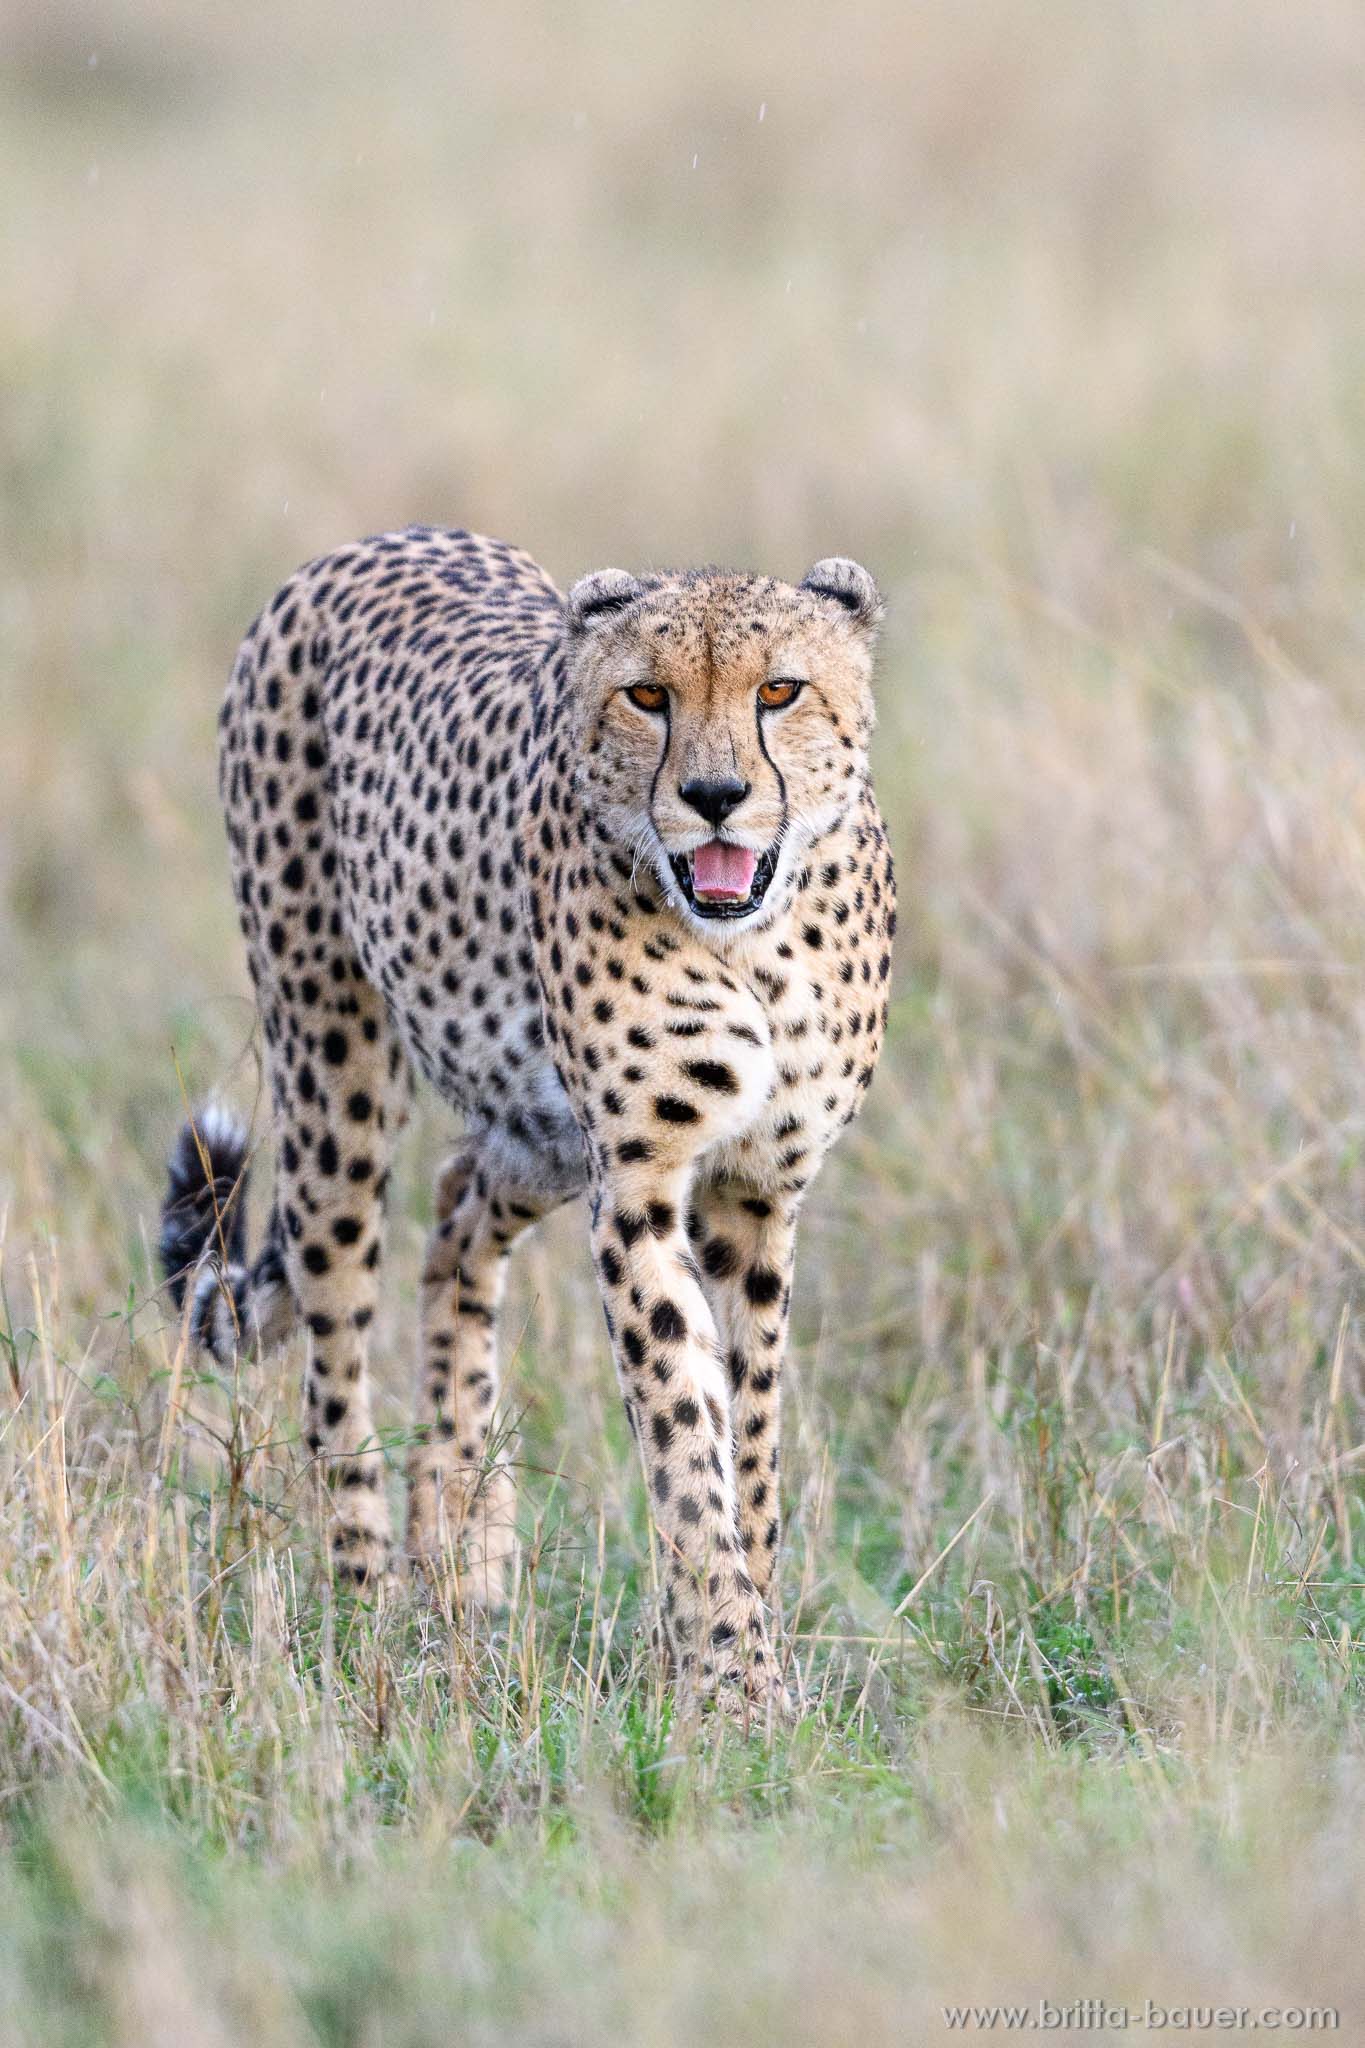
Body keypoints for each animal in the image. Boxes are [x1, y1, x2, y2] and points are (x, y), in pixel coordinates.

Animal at [159, 523, 895, 1713]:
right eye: (647, 694)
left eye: (780, 690)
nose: (716, 793)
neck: (756, 940)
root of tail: (375, 540)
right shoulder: (636, 1185)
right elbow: (683, 1429)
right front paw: (730, 1679)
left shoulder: (756, 1191)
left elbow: (750, 1432)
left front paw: (750, 1643)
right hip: (334, 1066)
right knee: (333, 1329)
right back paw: (365, 1597)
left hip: (539, 1131)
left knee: (459, 1210)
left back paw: (466, 1540)